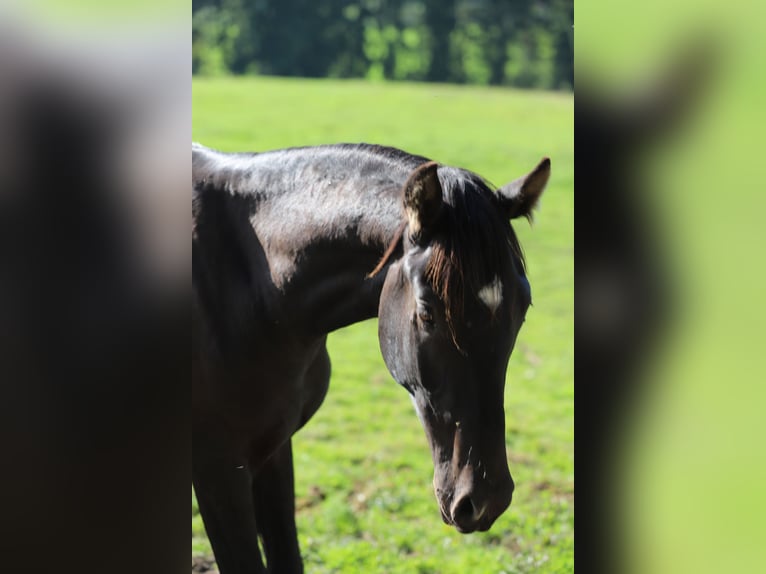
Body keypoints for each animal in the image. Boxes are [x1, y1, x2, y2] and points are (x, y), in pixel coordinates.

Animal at [192, 142, 550, 573]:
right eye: (427, 312)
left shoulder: (272, 449)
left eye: (523, 307)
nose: (485, 501)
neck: (250, 286)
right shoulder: (219, 472)